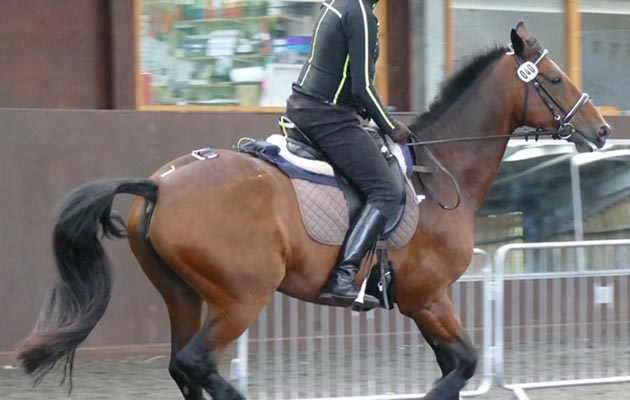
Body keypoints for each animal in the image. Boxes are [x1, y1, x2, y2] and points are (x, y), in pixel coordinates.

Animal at [17, 22, 608, 400]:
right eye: (555, 79)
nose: (601, 129)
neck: (440, 172)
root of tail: (161, 183)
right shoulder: (427, 297)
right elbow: (462, 366)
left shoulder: (426, 303)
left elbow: (457, 368)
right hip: (241, 298)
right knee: (196, 364)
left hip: (183, 296)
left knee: (183, 369)